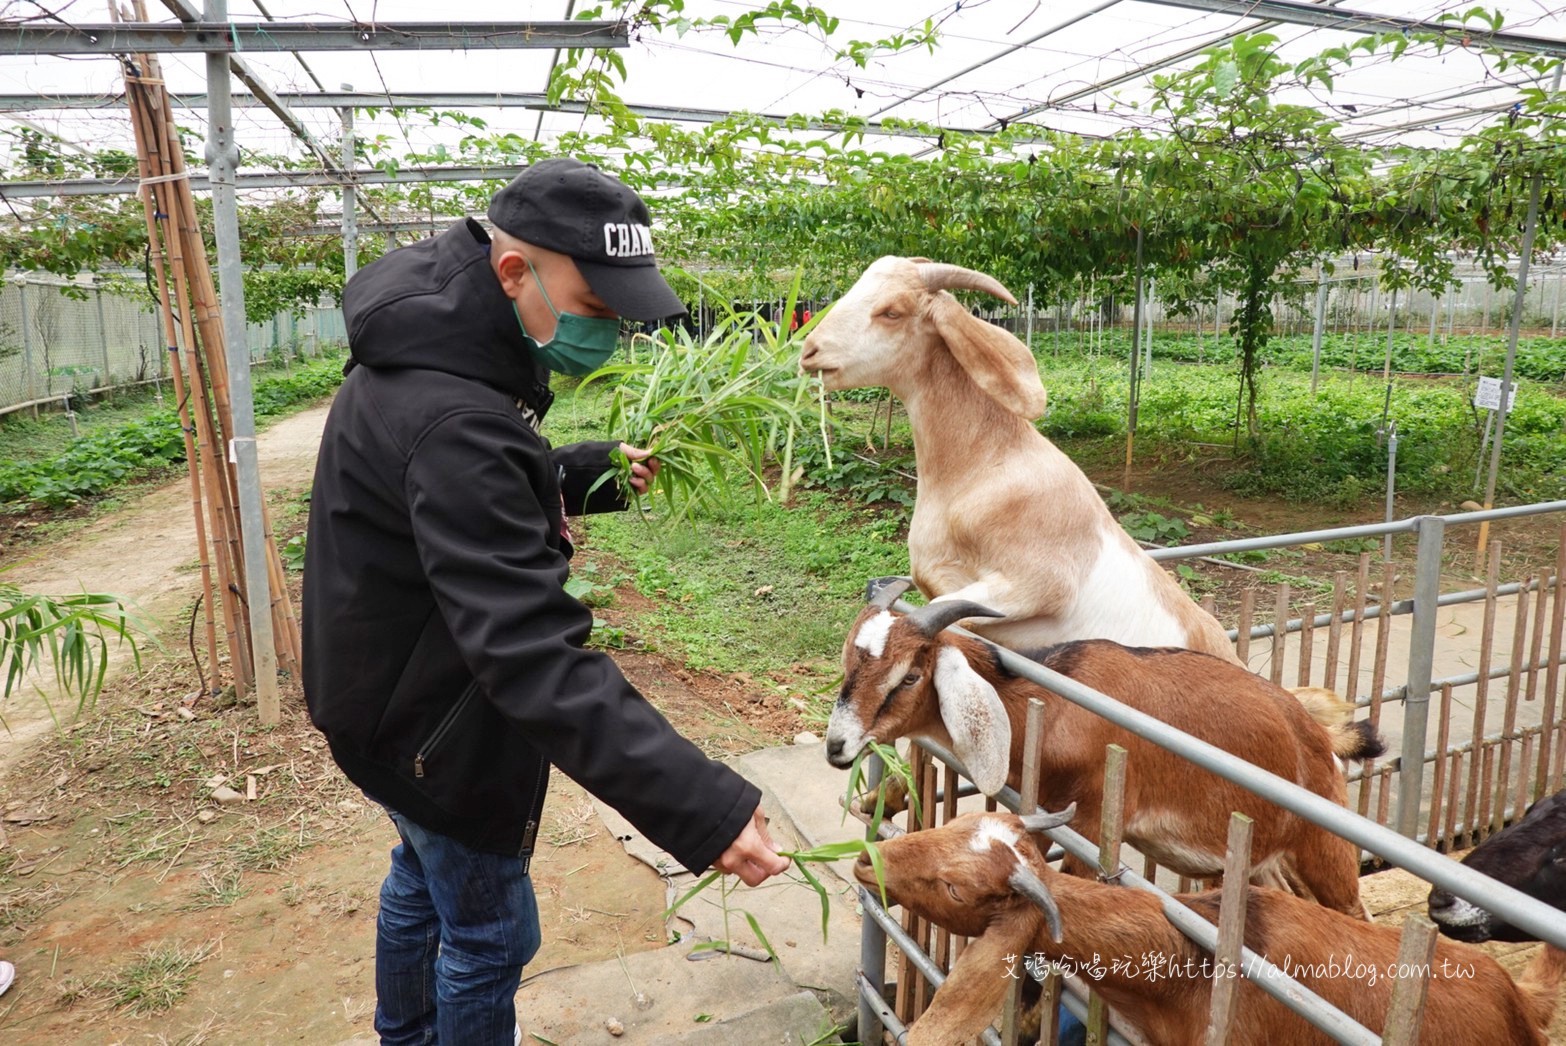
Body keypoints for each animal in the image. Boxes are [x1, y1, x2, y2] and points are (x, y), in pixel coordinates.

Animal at [833, 585, 1384, 920]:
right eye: (846, 665)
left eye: (908, 676)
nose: (837, 747)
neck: (1051, 705)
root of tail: (1315, 733)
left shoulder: (1092, 825)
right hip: (1266, 860)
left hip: (1325, 849)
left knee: (1353, 911)